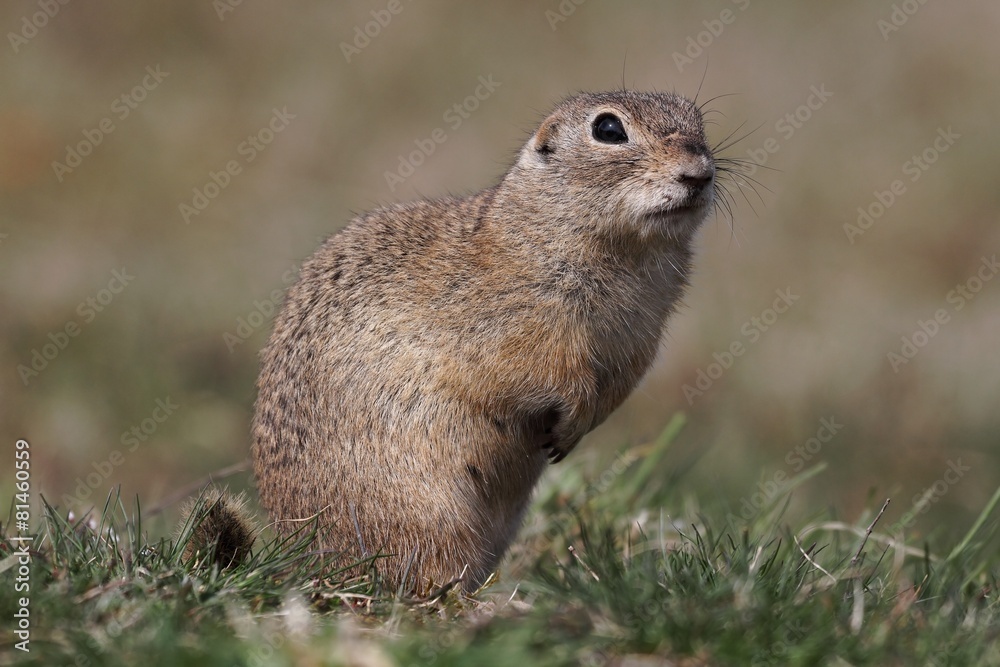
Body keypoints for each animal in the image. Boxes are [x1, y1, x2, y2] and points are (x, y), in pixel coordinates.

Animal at [186, 90, 719, 593]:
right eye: (608, 129)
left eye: (698, 123)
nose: (700, 173)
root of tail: (310, 564)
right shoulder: (518, 331)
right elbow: (548, 373)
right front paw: (571, 417)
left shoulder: (639, 343)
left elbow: (616, 389)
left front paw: (578, 430)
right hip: (427, 514)